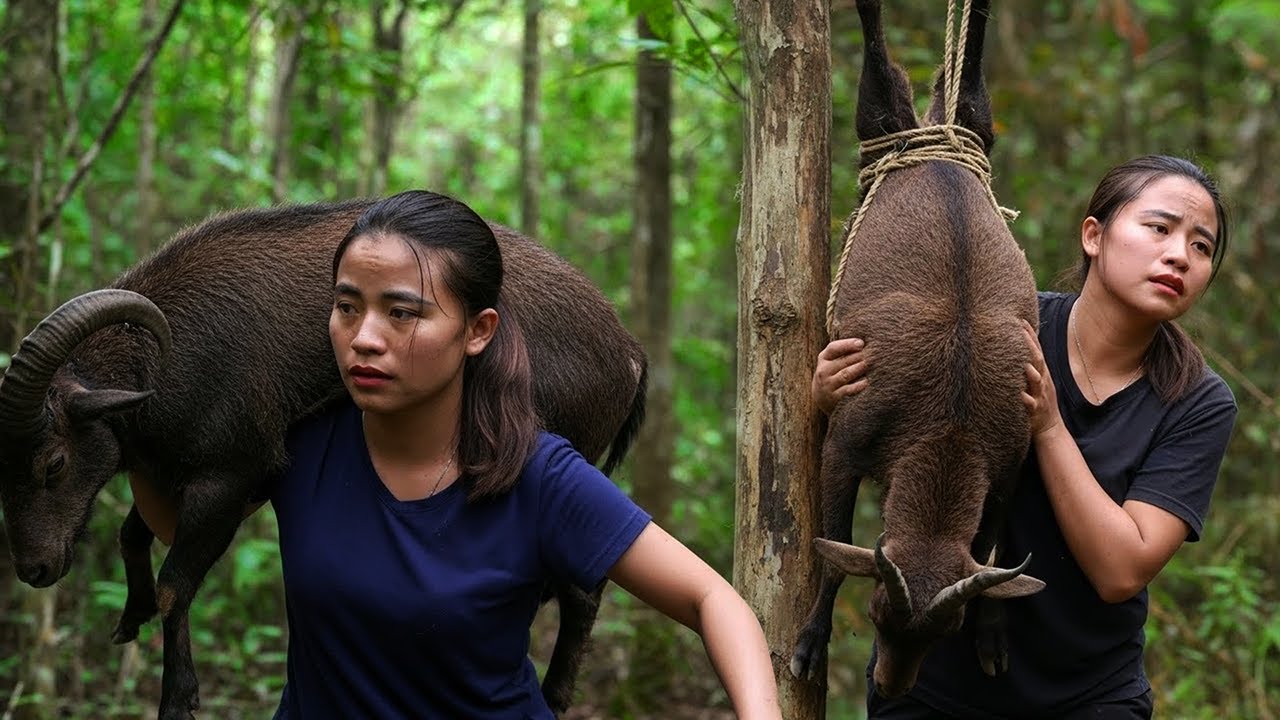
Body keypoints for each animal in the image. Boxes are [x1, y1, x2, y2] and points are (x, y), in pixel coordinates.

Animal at [0, 198, 646, 719]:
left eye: (54, 463)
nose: (33, 569)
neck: (161, 364)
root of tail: (628, 353)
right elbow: (132, 538)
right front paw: (129, 616)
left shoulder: (228, 476)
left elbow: (173, 586)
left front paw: (177, 697)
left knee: (583, 591)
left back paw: (555, 695)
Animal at [788, 0, 1044, 698]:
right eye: (878, 613)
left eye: (942, 631)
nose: (889, 686)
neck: (949, 424)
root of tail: (932, 141)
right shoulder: (846, 444)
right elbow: (835, 550)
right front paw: (810, 642)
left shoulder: (1007, 464)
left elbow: (994, 551)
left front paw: (992, 637)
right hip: (877, 121)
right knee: (879, 71)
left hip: (975, 123)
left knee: (968, 79)